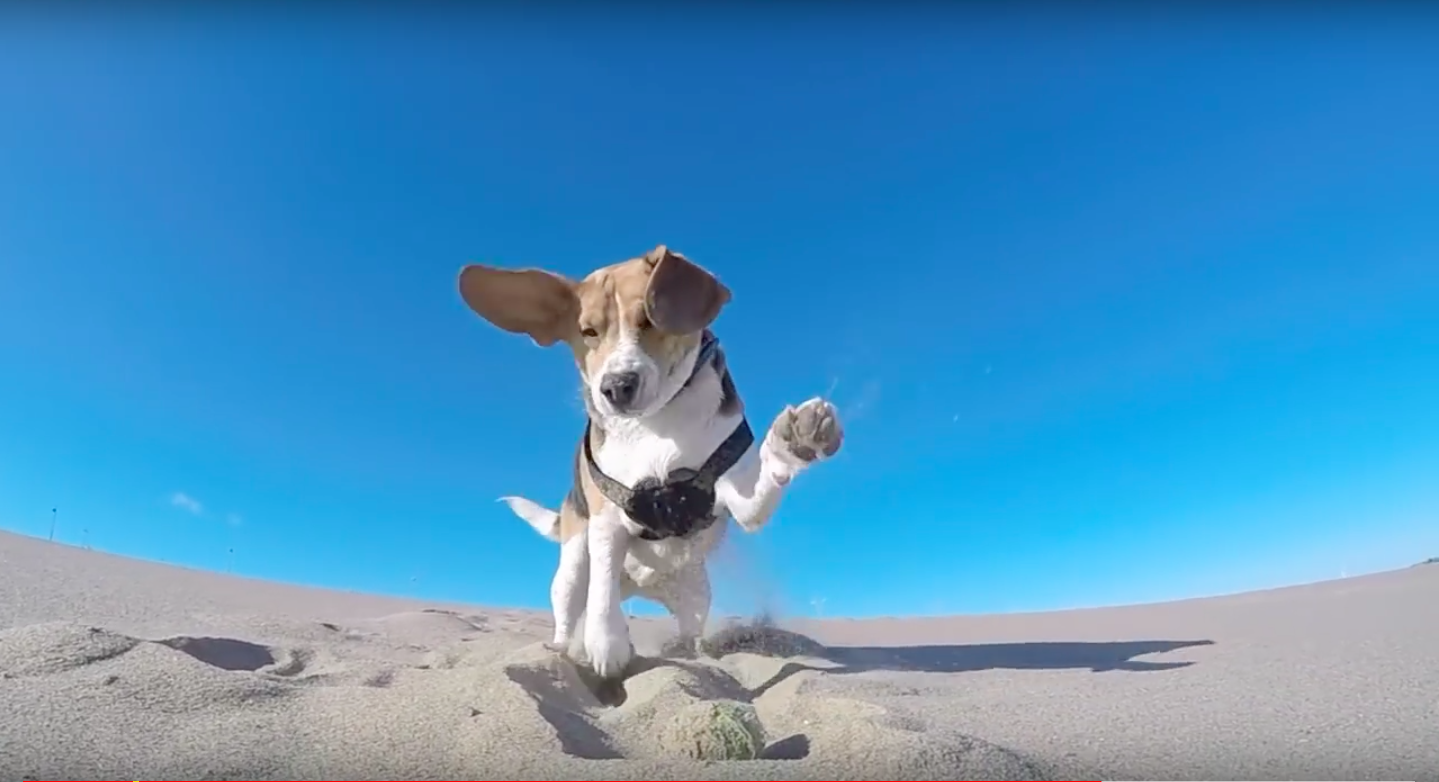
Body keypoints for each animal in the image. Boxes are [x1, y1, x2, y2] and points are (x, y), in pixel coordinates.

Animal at [457, 244, 840, 679]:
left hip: (696, 594)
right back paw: (563, 648)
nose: (616, 386)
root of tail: (642, 585)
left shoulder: (736, 495)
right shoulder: (607, 520)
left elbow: (762, 488)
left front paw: (796, 440)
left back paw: (694, 652)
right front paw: (606, 645)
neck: (655, 423)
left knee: (690, 630)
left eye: (648, 318)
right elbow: (602, 590)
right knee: (573, 611)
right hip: (572, 566)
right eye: (588, 332)